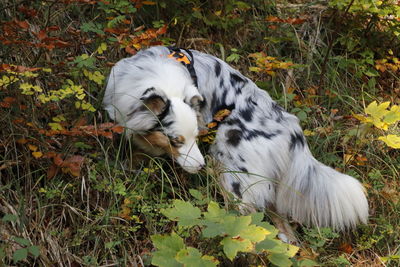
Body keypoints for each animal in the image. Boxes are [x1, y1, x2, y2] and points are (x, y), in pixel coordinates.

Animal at [103, 46, 368, 243]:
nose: (200, 167)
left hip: (232, 177)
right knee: (284, 228)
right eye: (176, 140)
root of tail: (292, 128)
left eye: (195, 136)